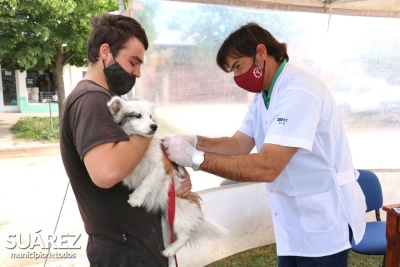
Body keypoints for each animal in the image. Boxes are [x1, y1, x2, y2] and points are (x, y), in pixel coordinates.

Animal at [107, 96, 228, 267]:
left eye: (151, 116)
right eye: (137, 115)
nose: (154, 126)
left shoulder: (161, 166)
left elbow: (148, 181)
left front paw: (137, 197)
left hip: (178, 214)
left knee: (185, 236)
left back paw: (171, 249)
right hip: (166, 228)